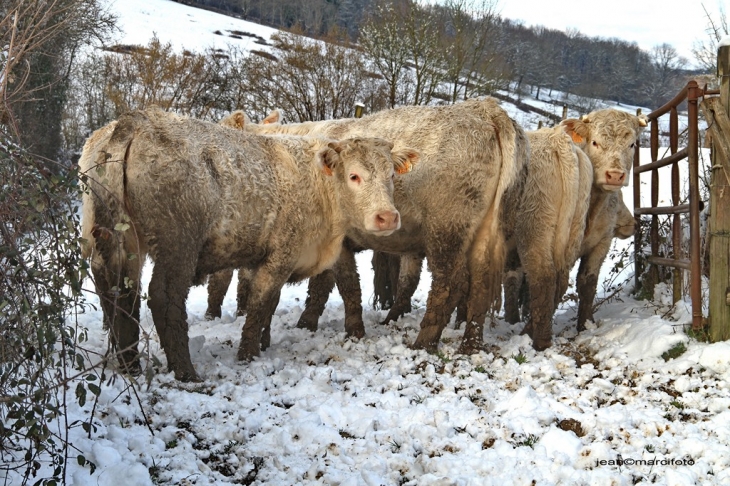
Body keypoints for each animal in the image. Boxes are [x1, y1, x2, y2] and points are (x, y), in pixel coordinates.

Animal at [79, 108, 416, 382]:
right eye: (354, 176)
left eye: (390, 175)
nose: (387, 217)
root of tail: (137, 120)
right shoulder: (282, 253)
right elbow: (260, 303)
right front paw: (248, 354)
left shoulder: (271, 255)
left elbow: (278, 299)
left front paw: (264, 342)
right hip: (178, 244)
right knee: (163, 298)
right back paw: (186, 372)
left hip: (119, 240)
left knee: (120, 294)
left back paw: (129, 365)